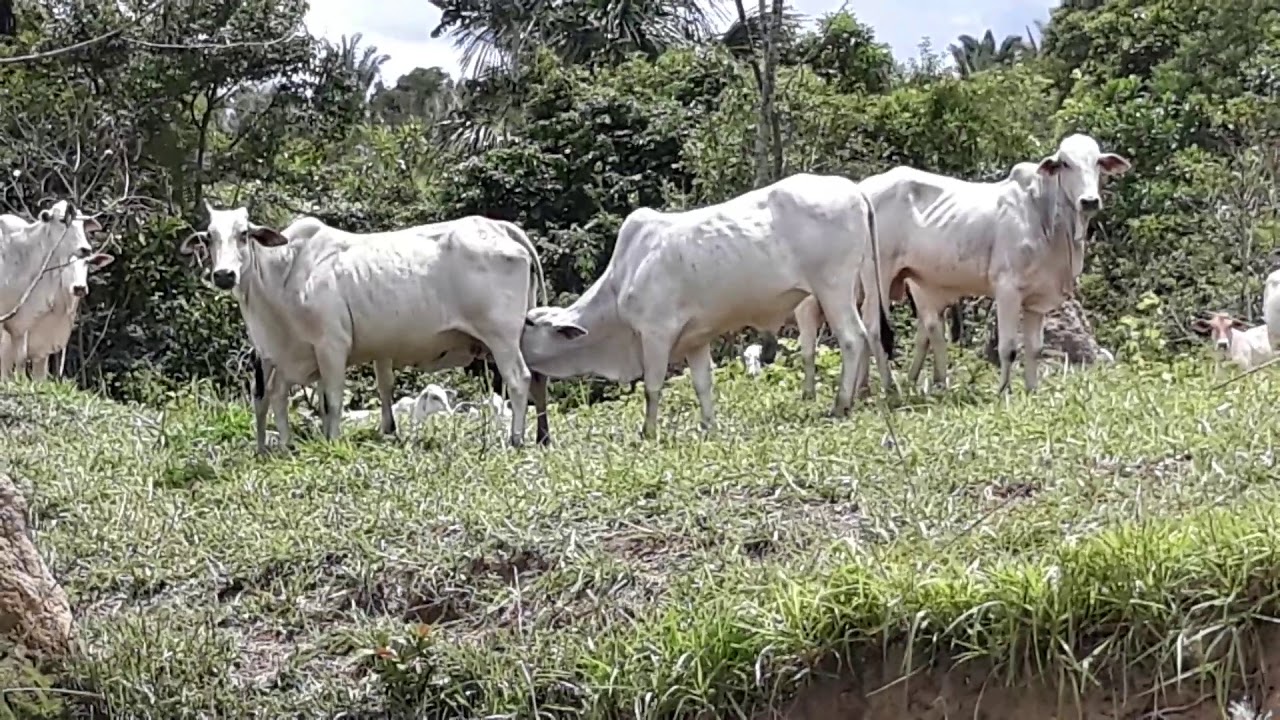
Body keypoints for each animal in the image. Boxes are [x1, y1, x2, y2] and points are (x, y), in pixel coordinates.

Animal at [180, 203, 550, 450]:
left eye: (244, 235)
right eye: (209, 238)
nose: (223, 275)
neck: (285, 271)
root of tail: (500, 228)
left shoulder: (330, 346)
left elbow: (332, 400)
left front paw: (332, 440)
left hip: (502, 337)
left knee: (519, 379)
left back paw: (516, 439)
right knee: (537, 381)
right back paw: (539, 437)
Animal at [519, 172, 894, 440]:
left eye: (529, 324)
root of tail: (852, 189)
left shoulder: (655, 333)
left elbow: (652, 386)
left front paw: (648, 432)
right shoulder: (695, 341)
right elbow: (703, 384)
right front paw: (708, 427)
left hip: (833, 287)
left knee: (853, 338)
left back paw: (841, 404)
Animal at [806, 133, 1131, 394]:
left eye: (1097, 163)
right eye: (1065, 163)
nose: (1089, 201)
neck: (1045, 215)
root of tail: (862, 190)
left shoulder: (1036, 301)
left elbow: (1035, 350)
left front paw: (1032, 390)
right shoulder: (1007, 289)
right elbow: (1008, 348)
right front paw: (1004, 391)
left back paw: (863, 389)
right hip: (879, 277)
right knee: (874, 328)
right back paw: (889, 387)